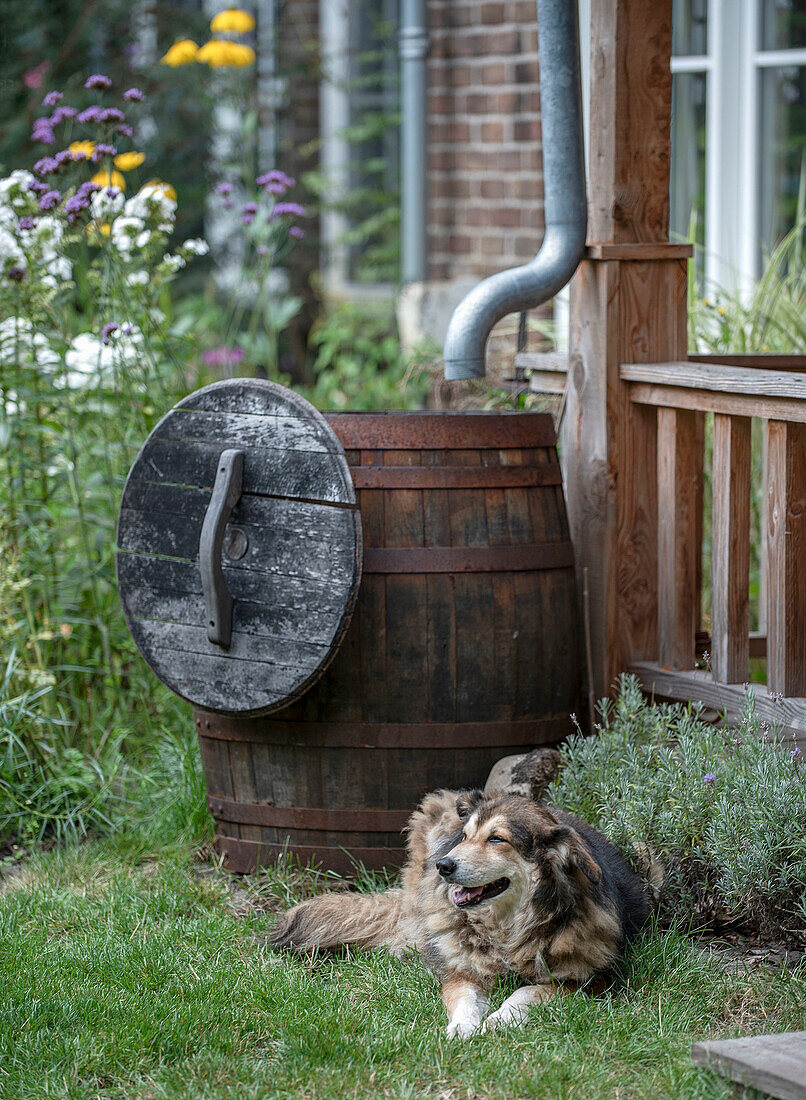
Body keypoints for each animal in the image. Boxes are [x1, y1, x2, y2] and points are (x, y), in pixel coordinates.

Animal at [268, 787, 646, 1034]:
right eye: (465, 836)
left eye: (497, 839)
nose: (443, 866)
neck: (506, 929)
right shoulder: (461, 972)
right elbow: (463, 997)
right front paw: (462, 1027)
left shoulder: (590, 980)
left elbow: (528, 991)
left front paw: (501, 1019)